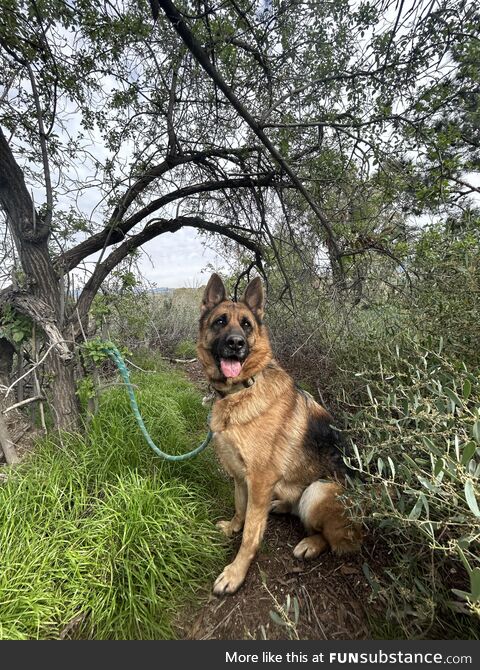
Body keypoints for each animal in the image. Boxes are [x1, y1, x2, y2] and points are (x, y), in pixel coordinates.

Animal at [196, 274, 360, 600]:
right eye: (220, 321)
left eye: (246, 325)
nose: (236, 344)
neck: (242, 389)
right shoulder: (240, 476)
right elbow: (241, 509)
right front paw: (233, 526)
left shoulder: (259, 479)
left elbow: (250, 536)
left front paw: (235, 573)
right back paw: (279, 506)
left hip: (318, 491)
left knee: (334, 540)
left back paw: (310, 544)